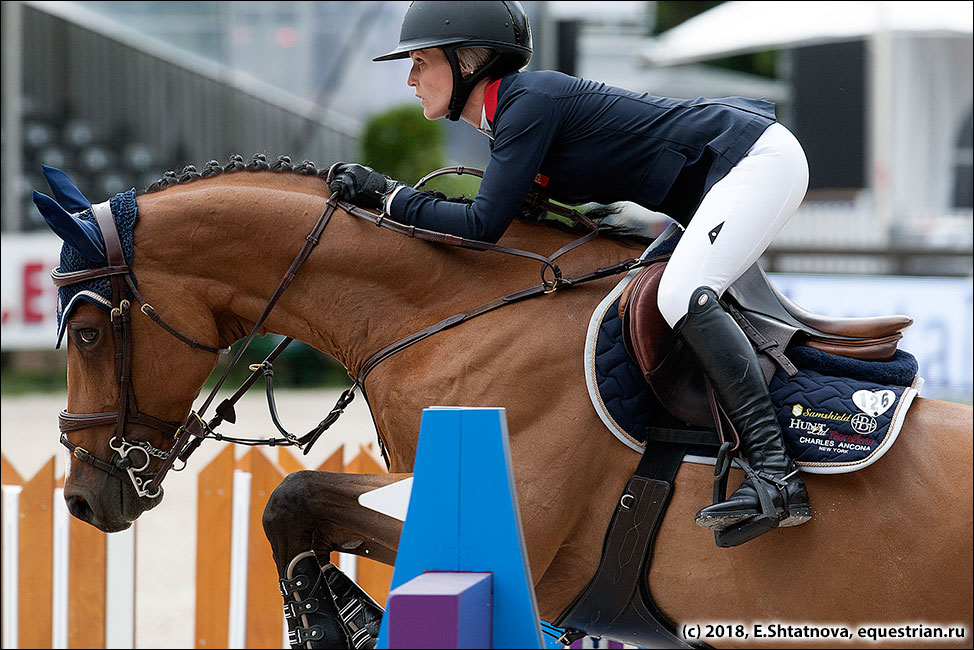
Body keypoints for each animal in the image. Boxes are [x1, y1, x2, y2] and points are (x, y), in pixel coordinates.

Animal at [38, 158, 974, 648]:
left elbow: (291, 499)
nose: (82, 500)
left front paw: (336, 622)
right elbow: (299, 511)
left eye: (84, 331)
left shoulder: (511, 524)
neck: (445, 315)